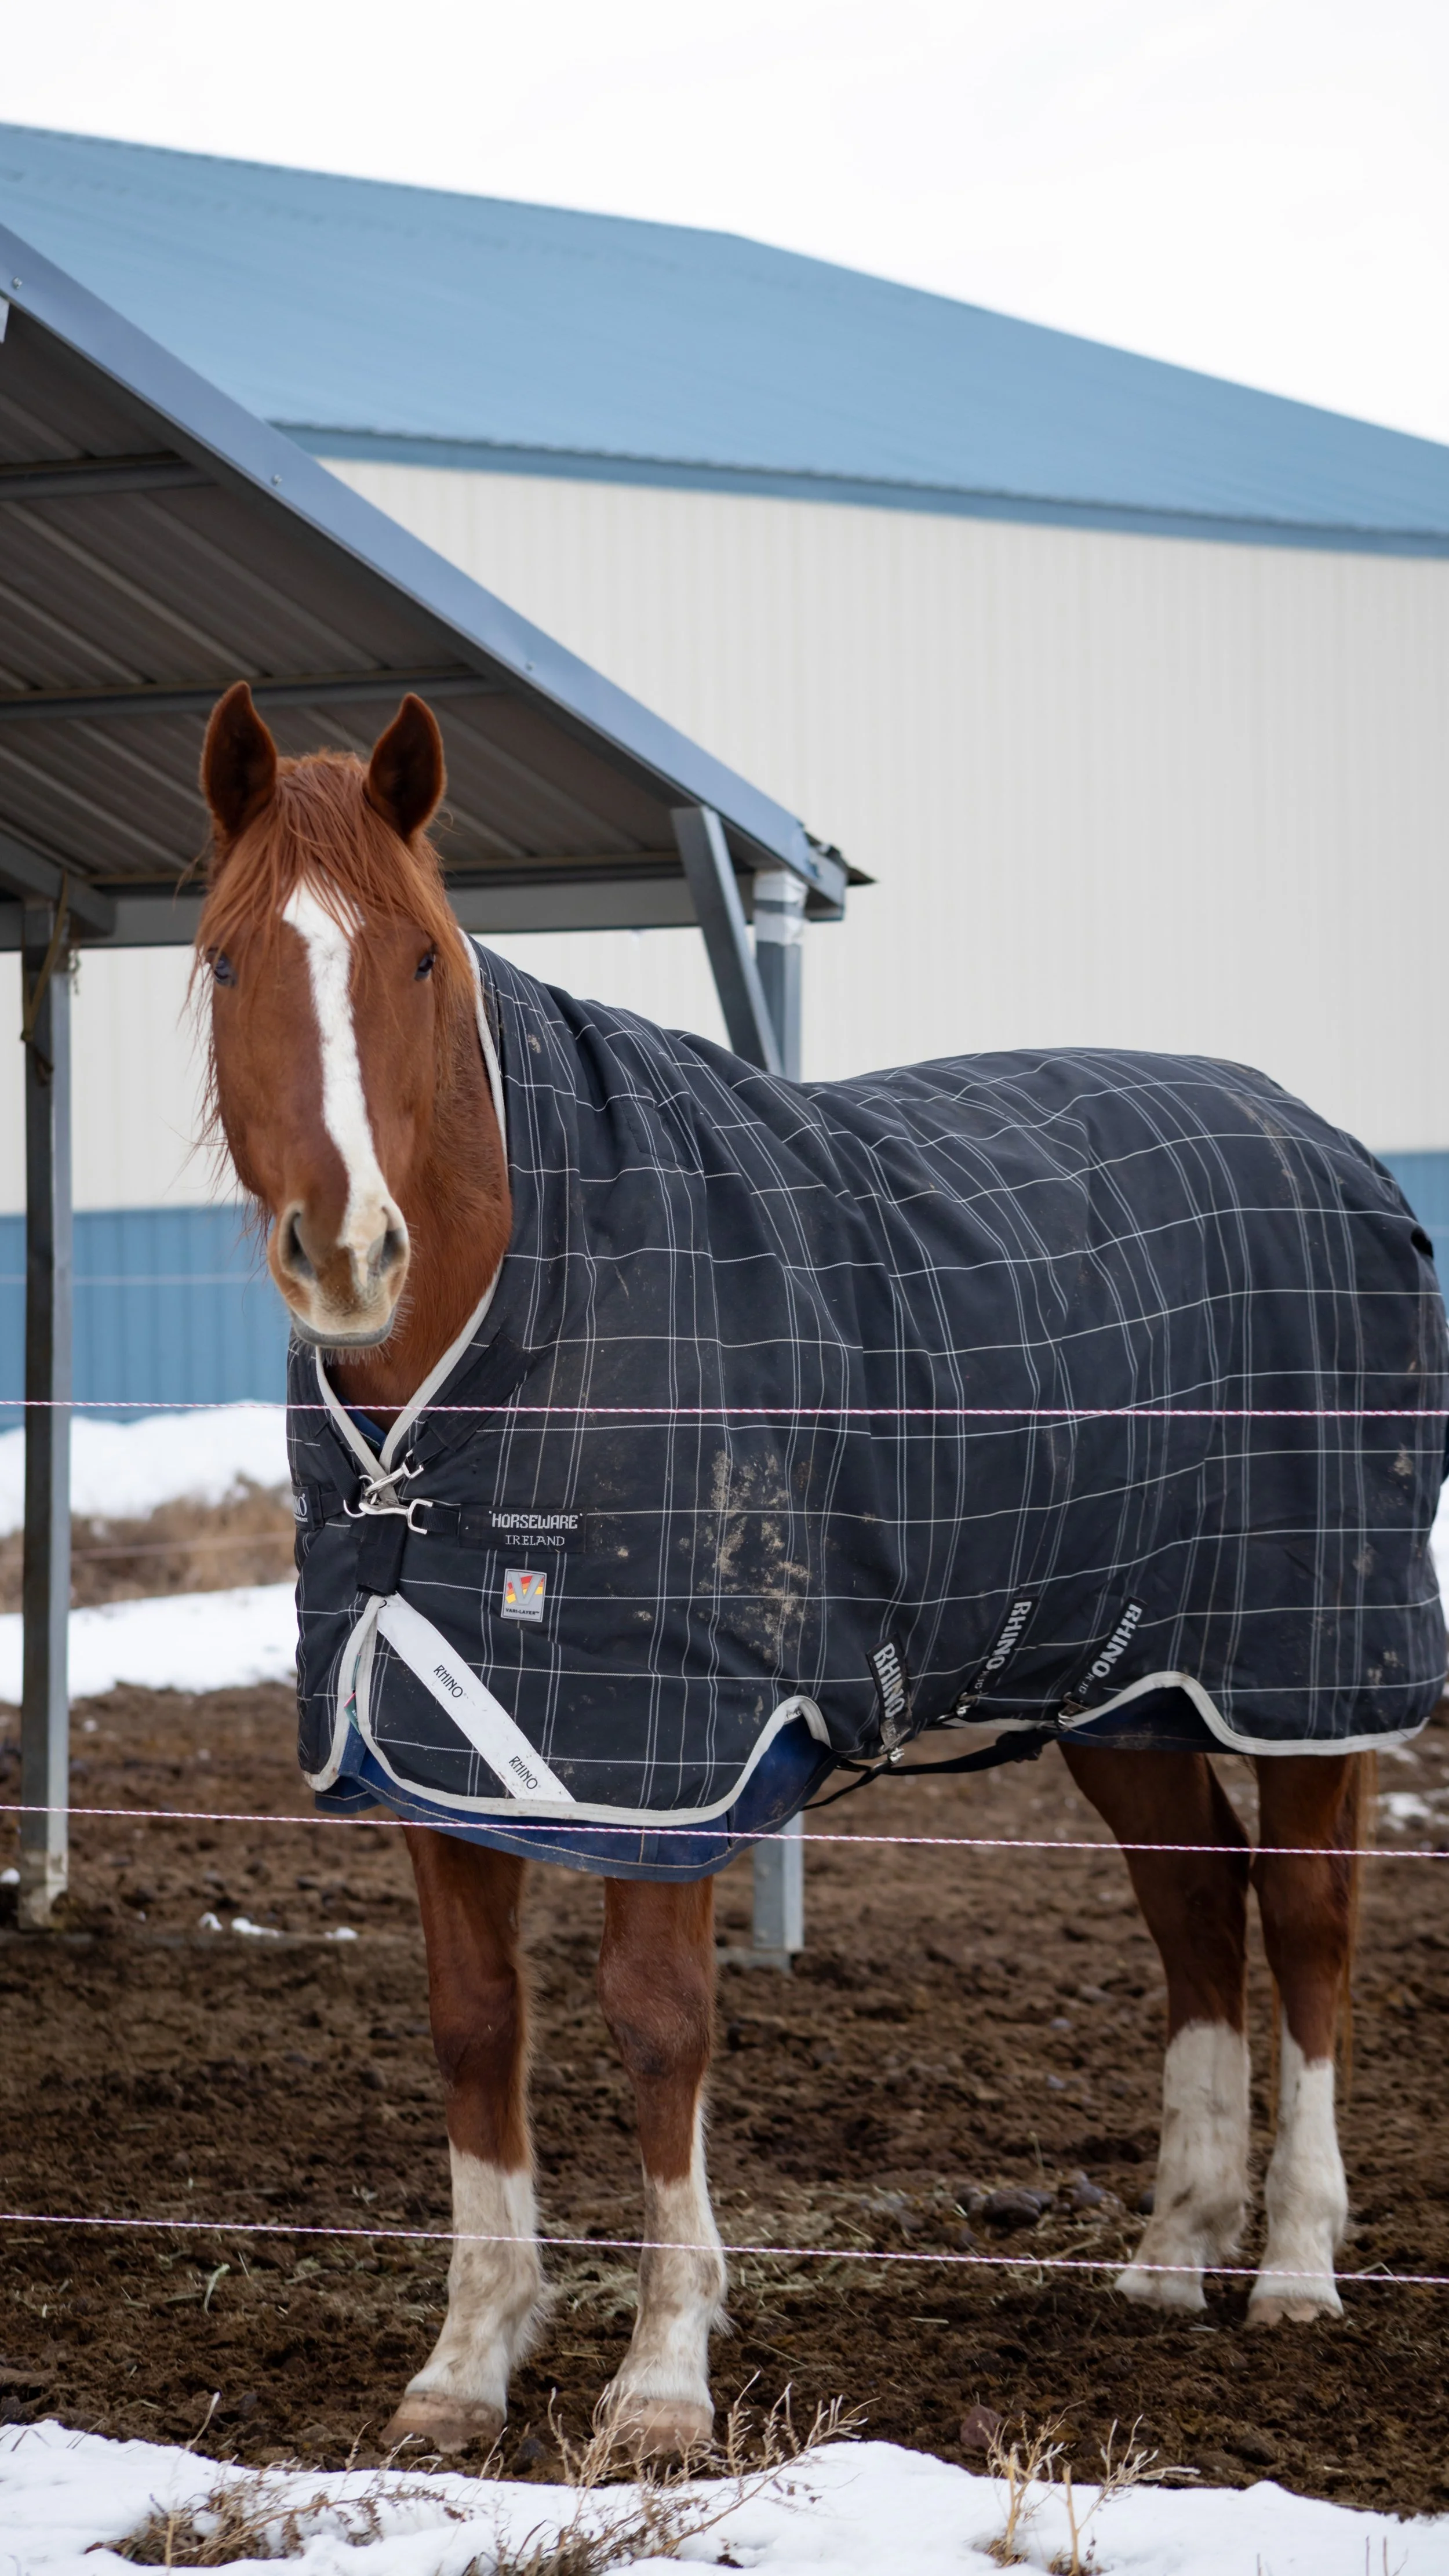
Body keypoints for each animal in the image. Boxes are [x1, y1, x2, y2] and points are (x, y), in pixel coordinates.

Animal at [196, 678, 1440, 2454]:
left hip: (1307, 1666)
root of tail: (1337, 1148)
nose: (349, 1248)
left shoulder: (675, 1766)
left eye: (421, 957)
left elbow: (660, 2026)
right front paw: (465, 2361)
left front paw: (660, 2379)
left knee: (1309, 1920)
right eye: (231, 957)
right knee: (1196, 1910)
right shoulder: (440, 1750)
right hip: (1128, 1685)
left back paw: (1288, 2267)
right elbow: (472, 2023)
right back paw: (1166, 2254)